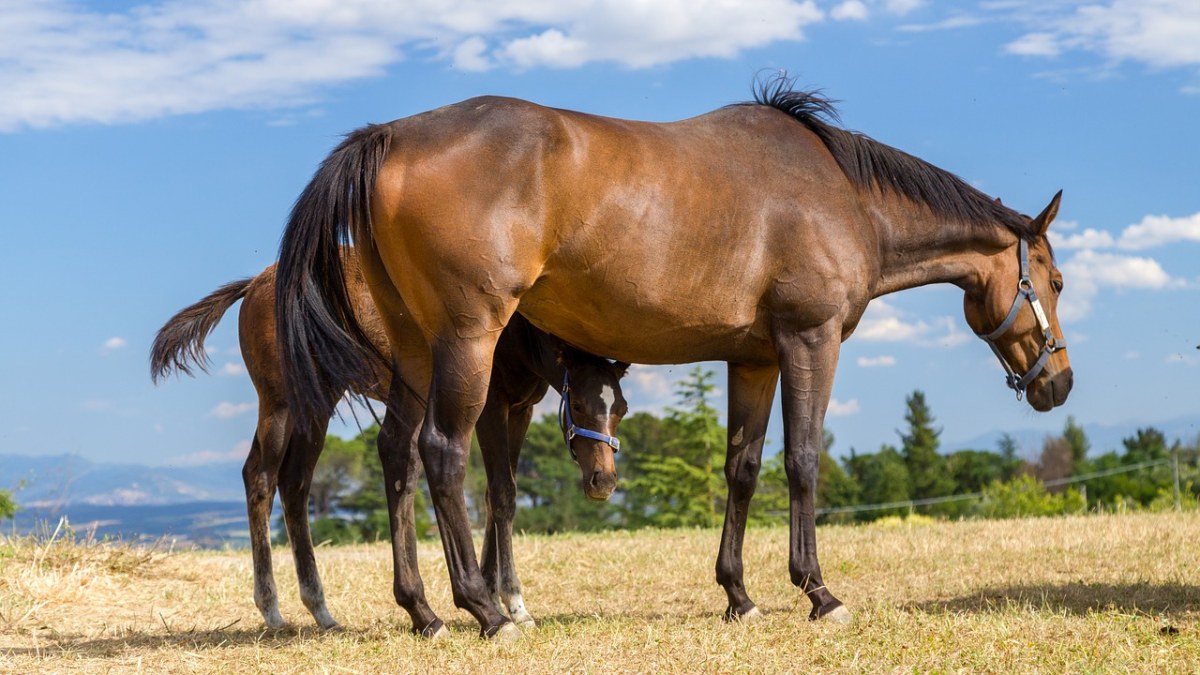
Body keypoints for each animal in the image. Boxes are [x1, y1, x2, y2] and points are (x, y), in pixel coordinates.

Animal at [152, 252, 628, 634]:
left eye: (620, 407)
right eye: (579, 405)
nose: (602, 481)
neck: (517, 327)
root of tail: (255, 284)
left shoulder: (520, 410)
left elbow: (495, 496)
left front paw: (493, 593)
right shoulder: (491, 407)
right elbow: (504, 494)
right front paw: (513, 604)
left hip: (316, 403)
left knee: (296, 484)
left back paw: (321, 611)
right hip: (279, 402)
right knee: (261, 478)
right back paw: (272, 610)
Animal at [272, 76, 1070, 634]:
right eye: (1057, 282)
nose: (1057, 383)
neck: (842, 195)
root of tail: (390, 136)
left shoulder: (755, 360)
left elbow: (742, 469)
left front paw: (739, 594)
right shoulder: (808, 342)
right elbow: (803, 461)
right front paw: (818, 591)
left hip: (415, 350)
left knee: (397, 456)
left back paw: (424, 611)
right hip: (467, 341)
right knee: (442, 452)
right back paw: (486, 611)